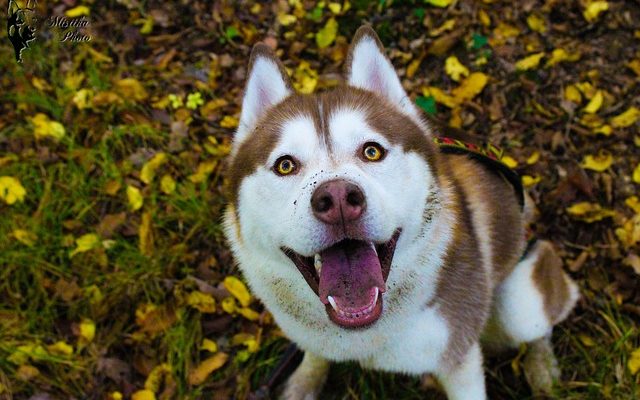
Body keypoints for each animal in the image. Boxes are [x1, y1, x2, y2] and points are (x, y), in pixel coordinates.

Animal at [225, 25, 580, 400]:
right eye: (285, 165)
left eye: (372, 151)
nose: (338, 199)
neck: (364, 333)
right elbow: (314, 355)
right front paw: (305, 382)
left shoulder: (461, 357)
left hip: (520, 300)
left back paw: (542, 367)